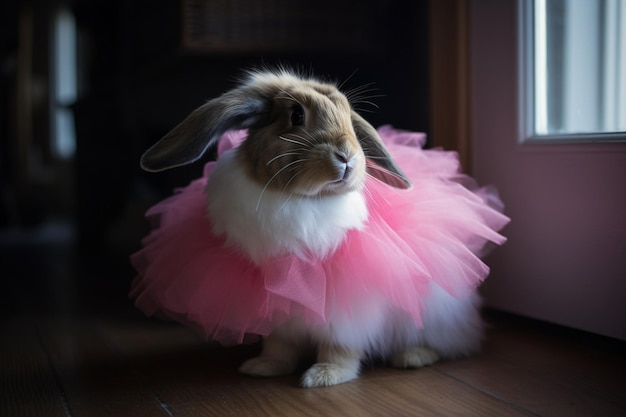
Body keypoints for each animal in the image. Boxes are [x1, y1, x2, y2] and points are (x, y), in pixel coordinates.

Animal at [134, 68, 504, 386]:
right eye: (296, 116)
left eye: (349, 118)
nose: (346, 156)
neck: (304, 198)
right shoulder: (278, 304)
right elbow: (279, 344)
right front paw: (263, 367)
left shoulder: (346, 309)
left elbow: (341, 345)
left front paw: (324, 376)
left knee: (448, 344)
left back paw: (412, 356)